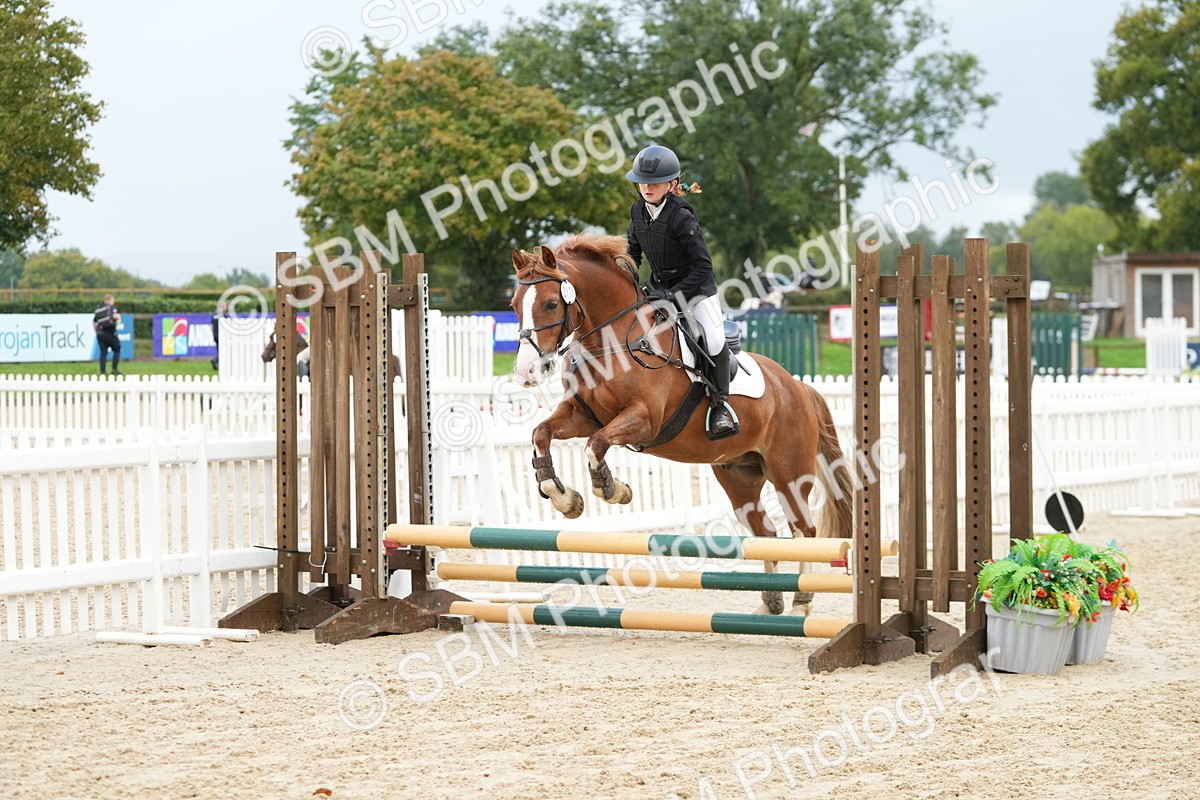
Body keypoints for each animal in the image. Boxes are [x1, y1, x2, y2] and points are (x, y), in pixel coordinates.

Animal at [510, 234, 855, 616]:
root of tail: (796, 386)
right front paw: (565, 499)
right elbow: (541, 433)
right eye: (514, 304)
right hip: (741, 478)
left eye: (551, 303)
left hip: (789, 473)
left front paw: (614, 489)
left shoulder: (644, 419)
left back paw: (800, 605)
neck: (611, 343)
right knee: (766, 534)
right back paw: (770, 606)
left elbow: (596, 445)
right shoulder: (582, 415)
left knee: (804, 531)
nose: (527, 372)